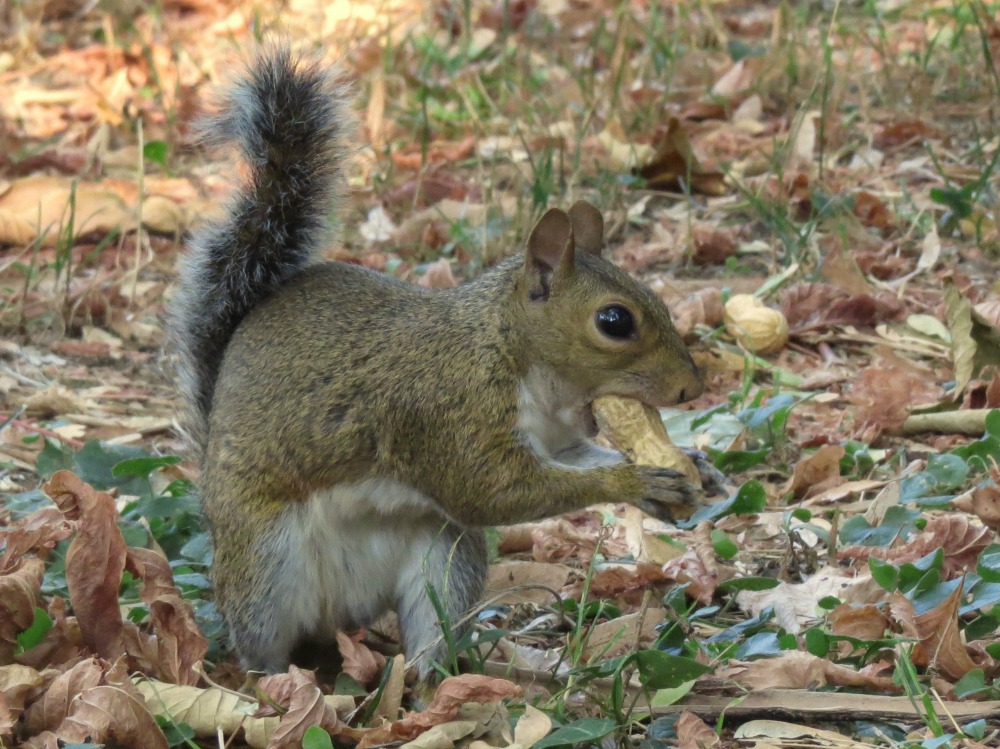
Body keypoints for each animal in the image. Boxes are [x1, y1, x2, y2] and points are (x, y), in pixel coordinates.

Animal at [168, 45, 708, 676]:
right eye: (615, 321)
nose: (691, 389)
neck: (513, 355)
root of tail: (341, 618)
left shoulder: (554, 438)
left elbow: (571, 461)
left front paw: (689, 469)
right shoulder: (446, 415)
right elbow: (492, 491)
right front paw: (632, 477)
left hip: (444, 559)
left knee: (430, 633)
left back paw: (446, 674)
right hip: (263, 564)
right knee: (261, 642)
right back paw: (272, 686)